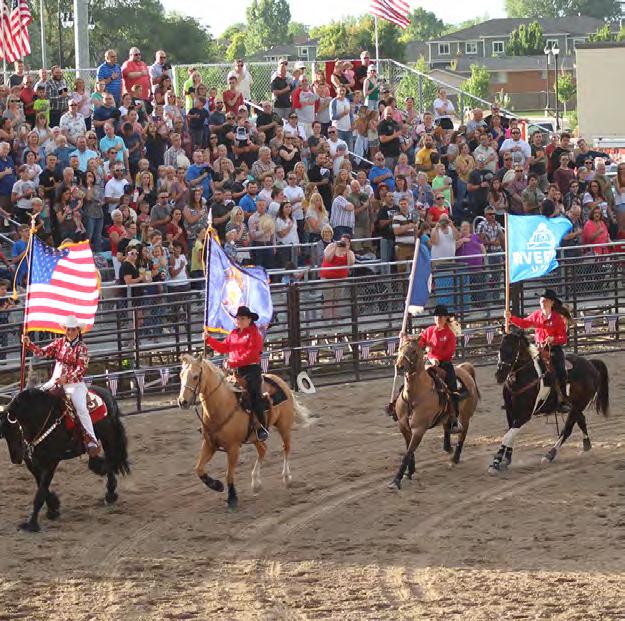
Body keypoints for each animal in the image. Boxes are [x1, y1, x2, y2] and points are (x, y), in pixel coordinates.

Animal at [0, 385, 130, 532]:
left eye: (13, 429)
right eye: (4, 433)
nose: (15, 458)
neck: (44, 420)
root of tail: (107, 393)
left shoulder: (52, 461)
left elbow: (40, 493)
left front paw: (31, 524)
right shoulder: (33, 463)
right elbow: (42, 487)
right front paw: (53, 508)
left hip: (107, 436)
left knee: (111, 459)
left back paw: (110, 492)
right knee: (105, 460)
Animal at [177, 354, 308, 510]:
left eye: (196, 376)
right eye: (181, 375)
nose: (182, 402)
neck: (222, 404)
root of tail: (280, 381)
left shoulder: (233, 447)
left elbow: (229, 474)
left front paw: (232, 498)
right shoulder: (209, 444)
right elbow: (199, 469)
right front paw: (217, 485)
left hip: (284, 426)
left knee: (286, 448)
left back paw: (286, 478)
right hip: (256, 436)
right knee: (263, 449)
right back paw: (256, 483)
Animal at [389, 337, 481, 490]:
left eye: (414, 351)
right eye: (400, 348)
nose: (399, 366)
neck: (413, 396)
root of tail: (464, 369)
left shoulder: (418, 429)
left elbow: (407, 453)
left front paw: (396, 480)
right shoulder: (404, 427)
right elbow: (409, 451)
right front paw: (410, 472)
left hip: (465, 416)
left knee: (462, 434)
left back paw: (455, 458)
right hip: (447, 415)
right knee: (447, 427)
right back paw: (448, 447)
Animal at [490, 329, 610, 473]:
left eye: (512, 350)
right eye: (500, 349)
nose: (499, 375)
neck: (523, 377)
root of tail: (591, 364)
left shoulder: (525, 415)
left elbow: (508, 435)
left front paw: (496, 463)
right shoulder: (511, 411)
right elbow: (510, 434)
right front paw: (506, 460)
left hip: (578, 405)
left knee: (567, 429)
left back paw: (550, 455)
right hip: (577, 407)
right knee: (581, 420)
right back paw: (586, 446)